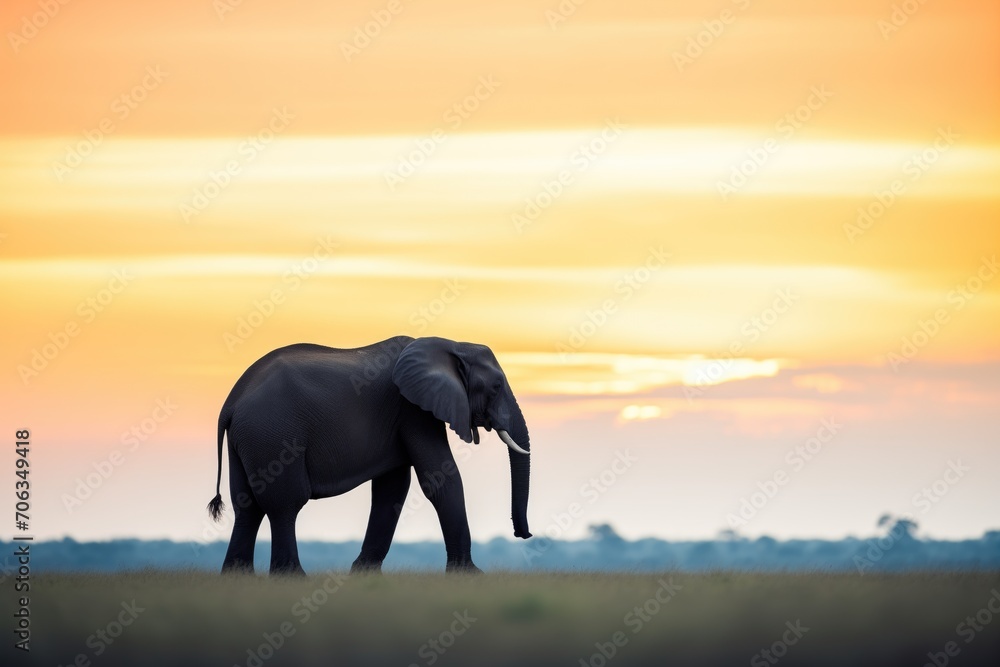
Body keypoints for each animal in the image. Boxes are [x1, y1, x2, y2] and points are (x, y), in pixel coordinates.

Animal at [206, 335, 532, 575]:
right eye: (496, 387)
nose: (523, 535)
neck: (452, 344)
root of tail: (231, 403)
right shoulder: (413, 410)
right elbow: (440, 477)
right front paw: (469, 575)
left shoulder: (403, 417)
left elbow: (392, 490)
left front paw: (362, 574)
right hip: (273, 437)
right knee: (284, 504)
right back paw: (291, 577)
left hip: (248, 441)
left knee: (247, 505)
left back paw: (238, 578)